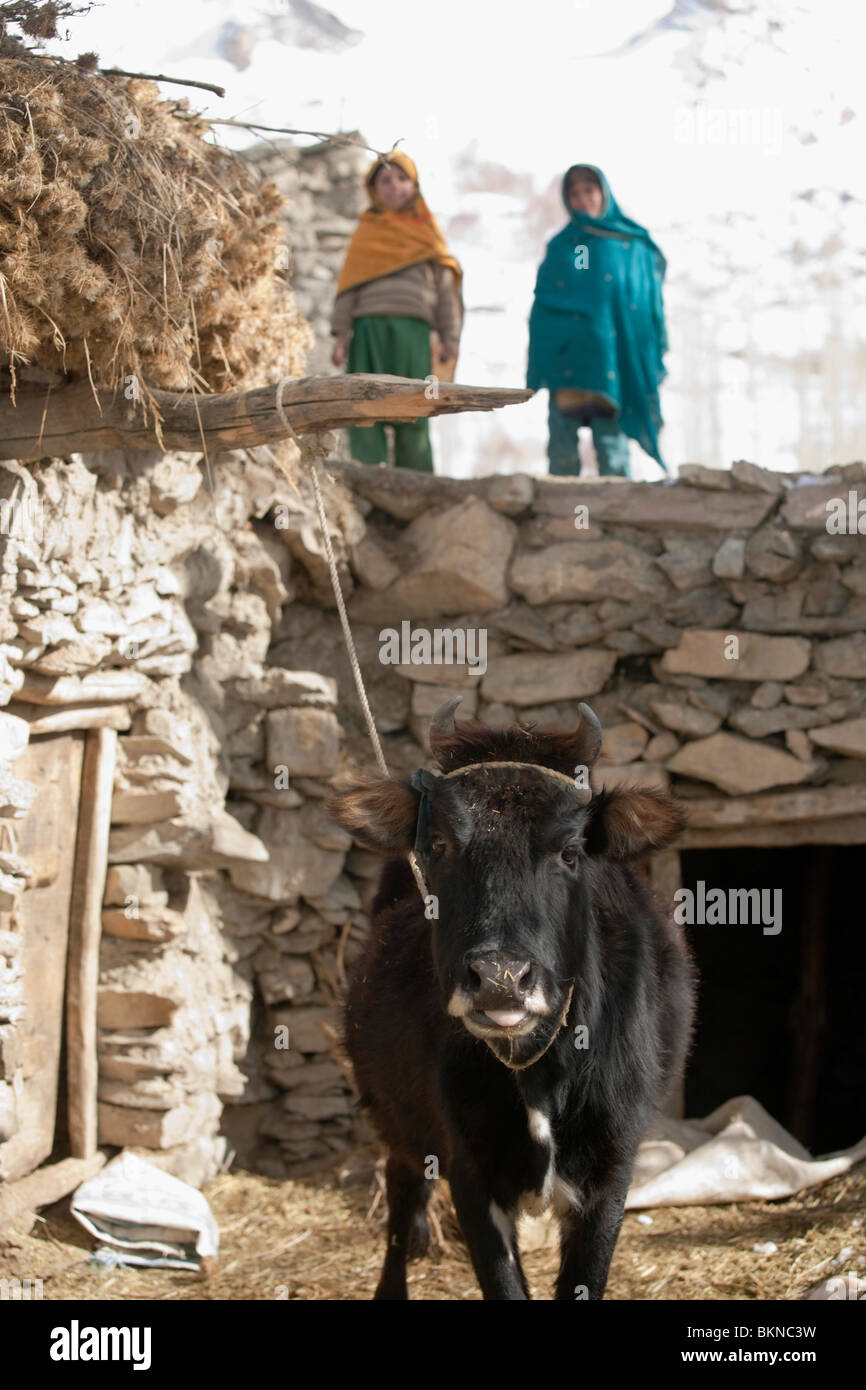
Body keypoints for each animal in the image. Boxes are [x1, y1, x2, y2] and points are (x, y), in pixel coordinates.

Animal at [328, 700, 695, 1295]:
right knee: (402, 1200)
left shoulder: (611, 1172)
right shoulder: (468, 1170)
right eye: (439, 845)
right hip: (397, 1120)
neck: (537, 1071)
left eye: (570, 851)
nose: (500, 978)